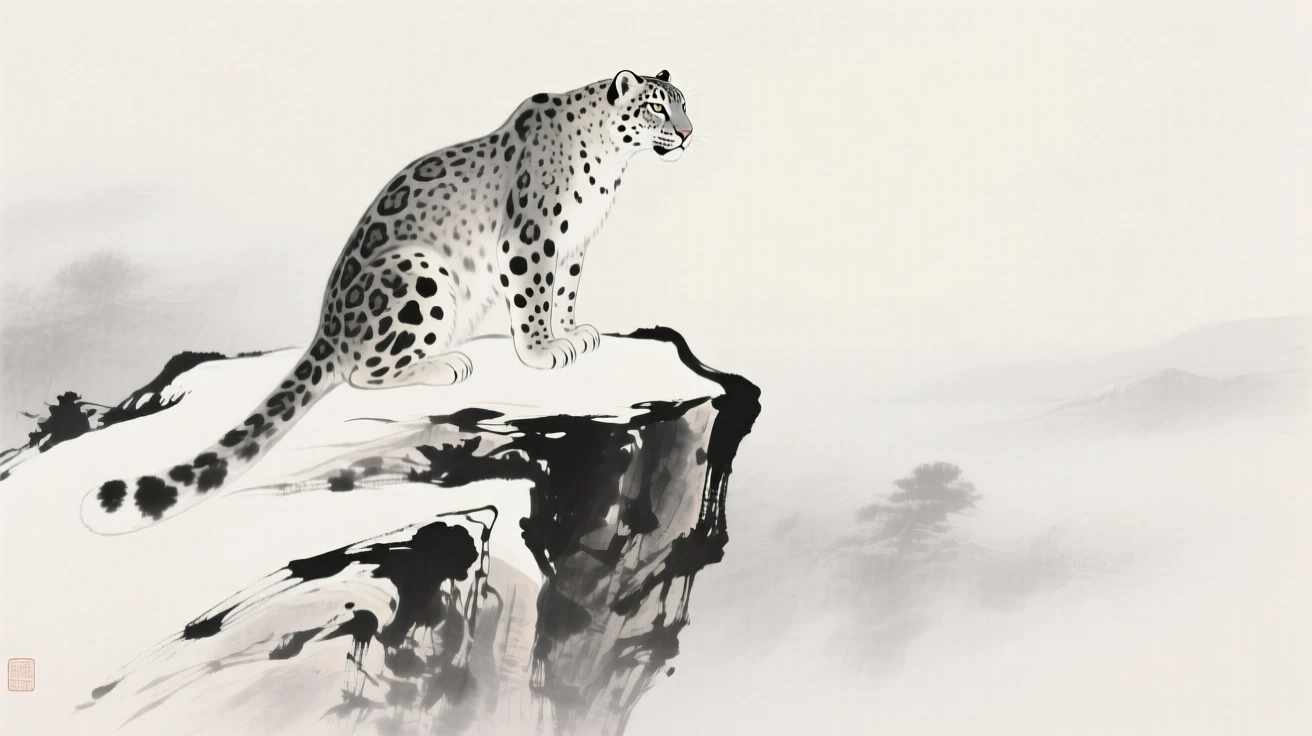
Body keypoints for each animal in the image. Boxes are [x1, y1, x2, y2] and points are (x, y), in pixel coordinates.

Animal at [80, 69, 693, 535]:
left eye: (684, 104)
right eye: (656, 108)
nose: (688, 134)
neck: (612, 169)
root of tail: (327, 327)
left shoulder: (573, 244)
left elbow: (564, 289)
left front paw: (576, 332)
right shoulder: (530, 237)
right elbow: (534, 293)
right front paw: (544, 349)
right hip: (419, 277)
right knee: (364, 372)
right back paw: (445, 363)